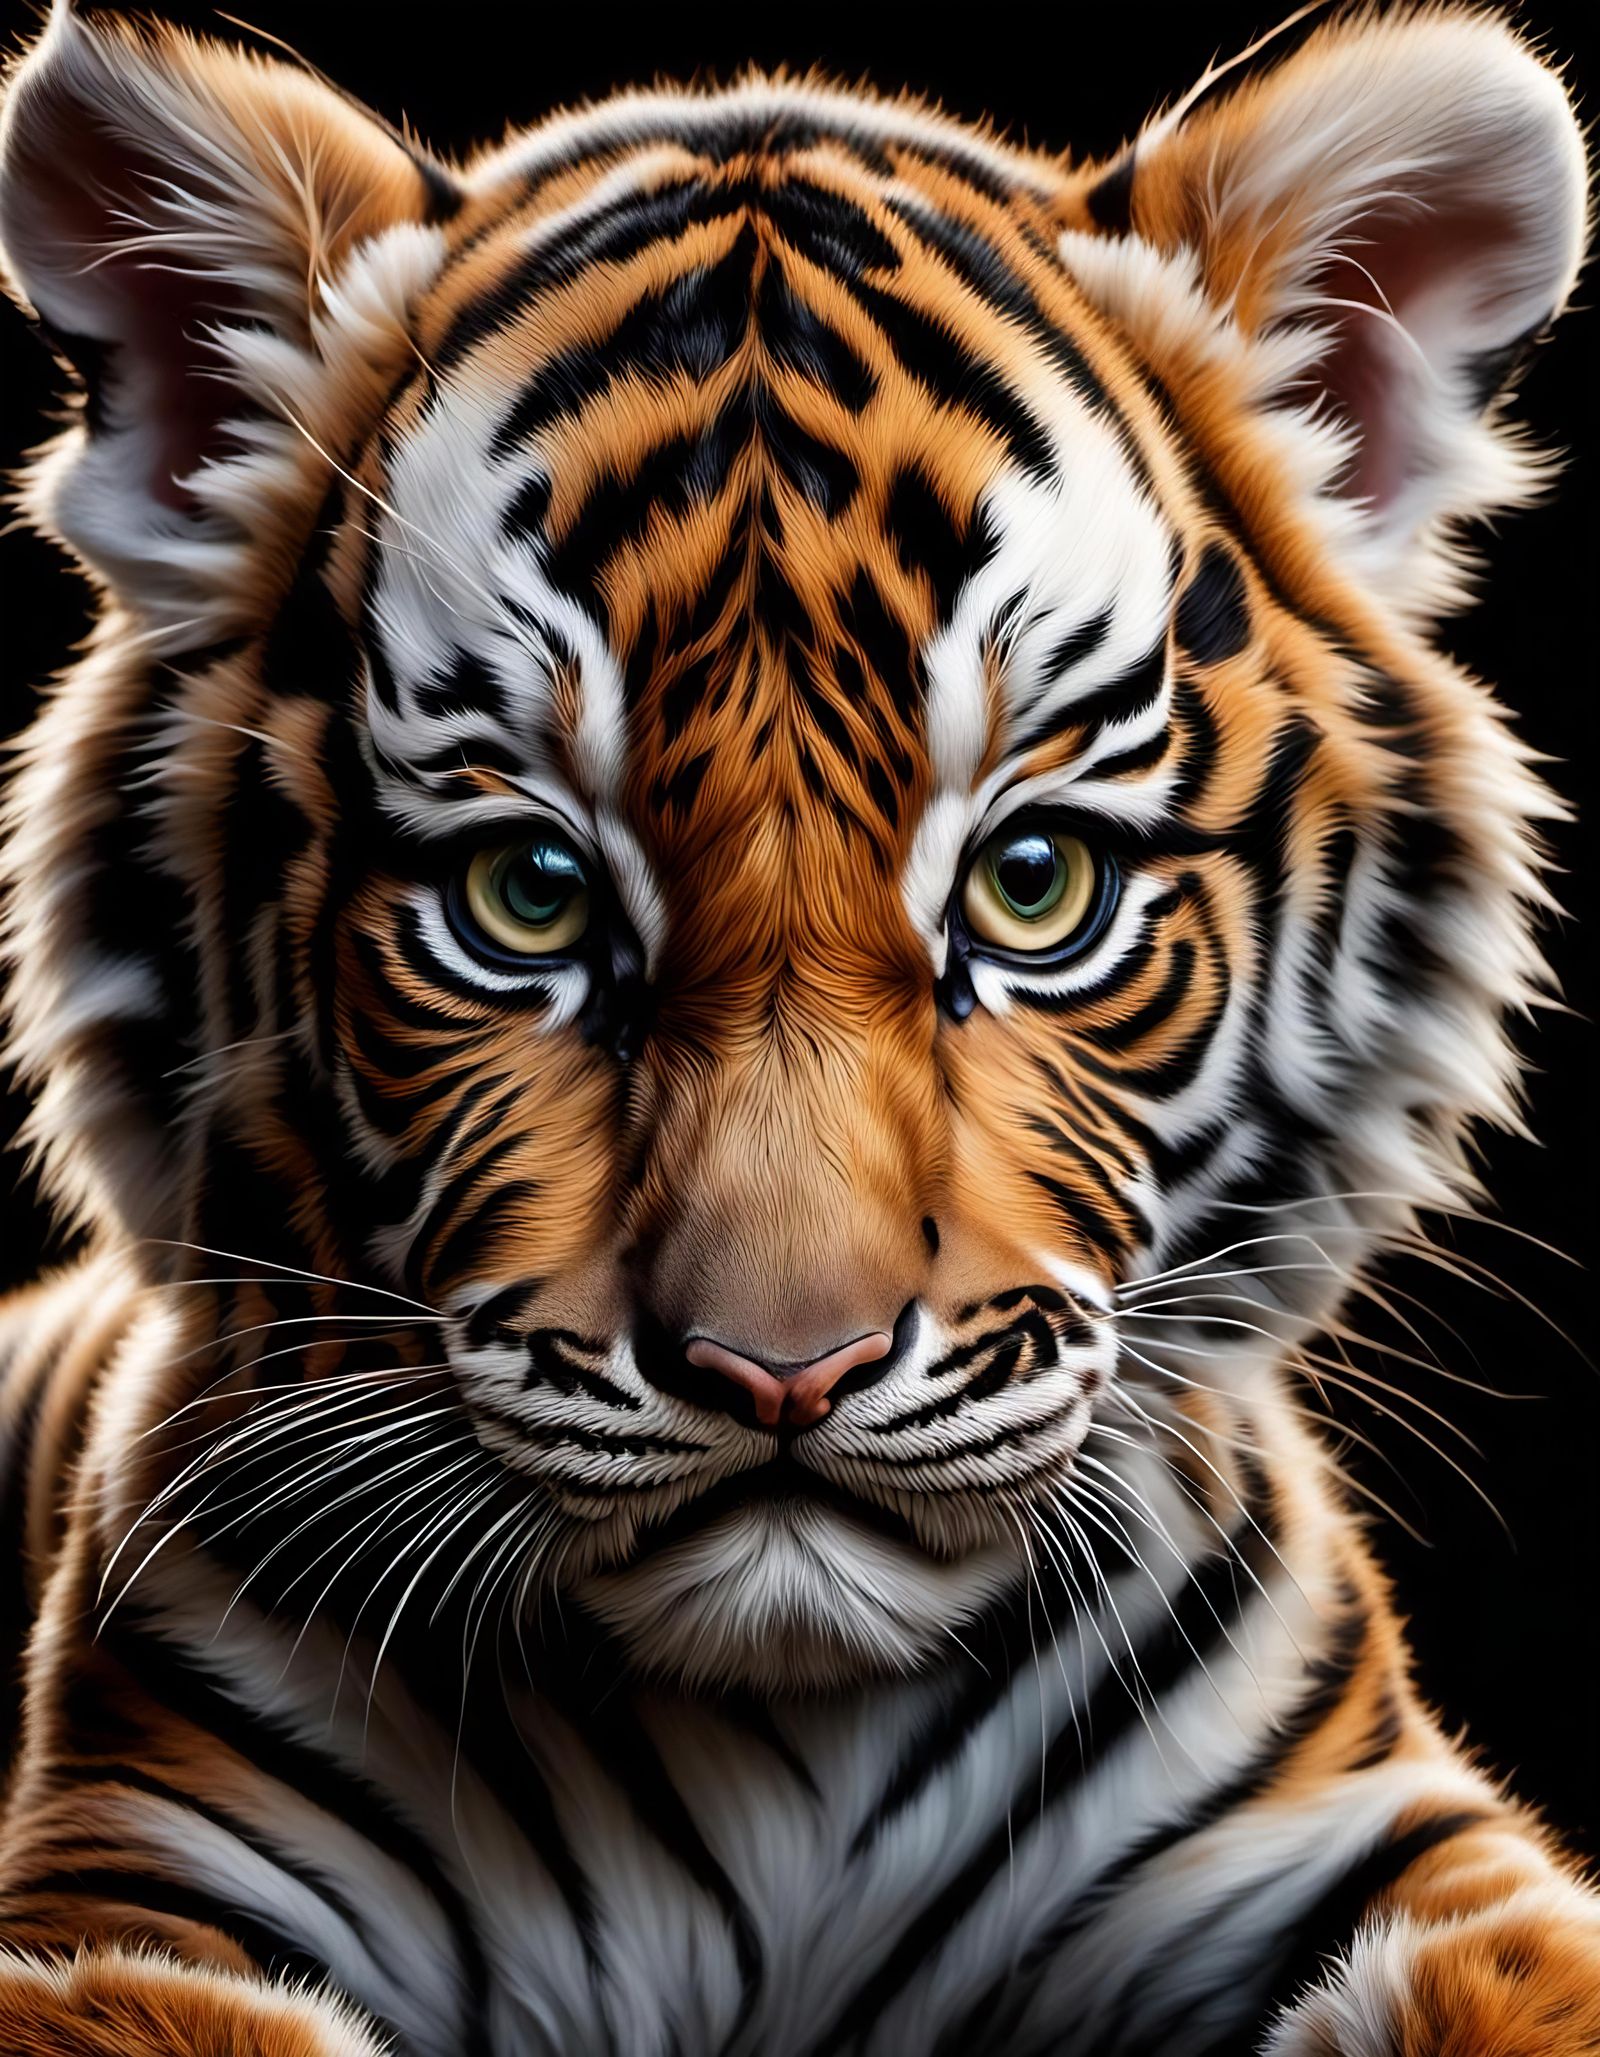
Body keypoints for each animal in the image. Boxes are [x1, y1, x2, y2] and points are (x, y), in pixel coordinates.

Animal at [0, 1, 1594, 2051]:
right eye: (529, 894)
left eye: (1035, 885)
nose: (784, 1375)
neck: (773, 1740)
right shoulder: (128, 1908)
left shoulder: (1399, 1852)